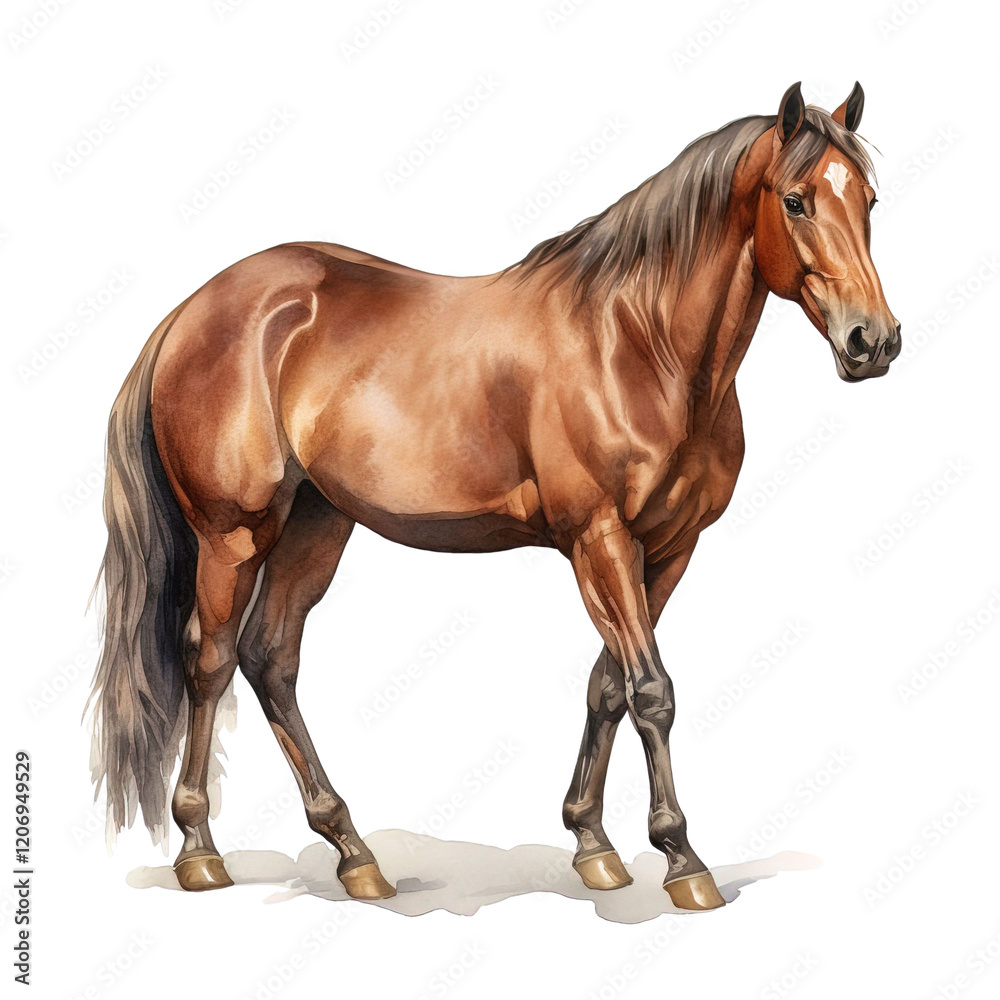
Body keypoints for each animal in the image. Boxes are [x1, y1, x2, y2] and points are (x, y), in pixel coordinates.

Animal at [88, 81, 900, 911]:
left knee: (270, 658)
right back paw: (200, 850)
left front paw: (593, 844)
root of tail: (192, 313)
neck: (640, 343)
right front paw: (681, 860)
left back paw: (353, 853)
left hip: (318, 525)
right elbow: (652, 691)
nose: (873, 340)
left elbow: (609, 686)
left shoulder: (668, 548)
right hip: (234, 535)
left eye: (869, 199)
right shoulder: (600, 538)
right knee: (210, 660)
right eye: (796, 200)